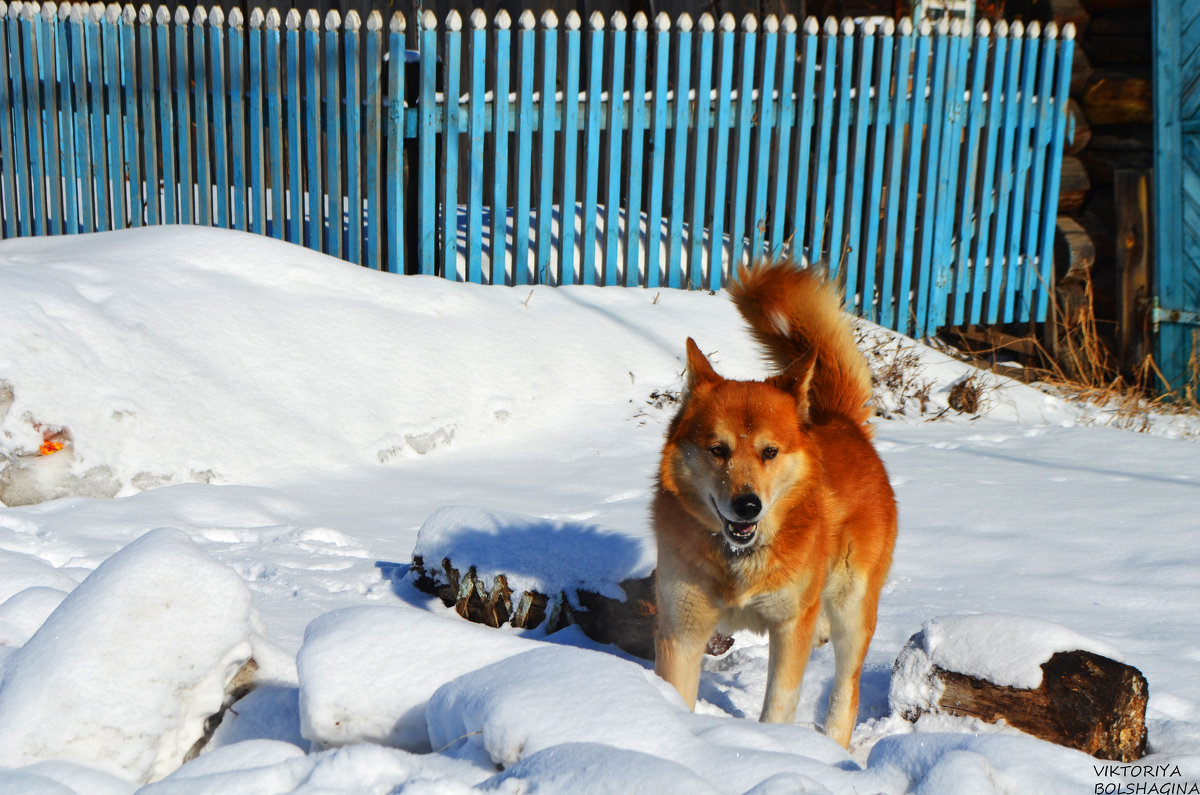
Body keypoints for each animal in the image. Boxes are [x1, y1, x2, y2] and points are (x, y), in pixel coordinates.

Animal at [652, 258, 897, 749]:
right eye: (718, 450)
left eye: (769, 452)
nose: (747, 506)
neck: (738, 560)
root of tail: (841, 422)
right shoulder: (682, 632)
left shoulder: (790, 628)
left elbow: (777, 709)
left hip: (853, 609)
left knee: (848, 690)